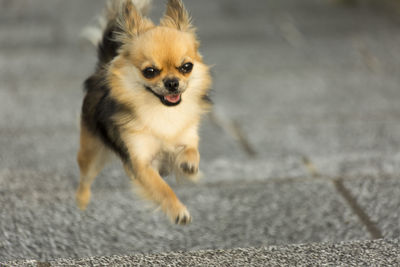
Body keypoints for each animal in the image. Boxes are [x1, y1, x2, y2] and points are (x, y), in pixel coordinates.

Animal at [76, 0, 212, 226]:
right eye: (150, 72)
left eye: (187, 67)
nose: (172, 82)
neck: (164, 112)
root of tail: (102, 69)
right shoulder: (142, 164)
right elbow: (162, 189)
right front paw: (178, 211)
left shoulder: (187, 137)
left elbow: (192, 150)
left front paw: (189, 164)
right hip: (92, 152)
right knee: (85, 178)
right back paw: (81, 202)